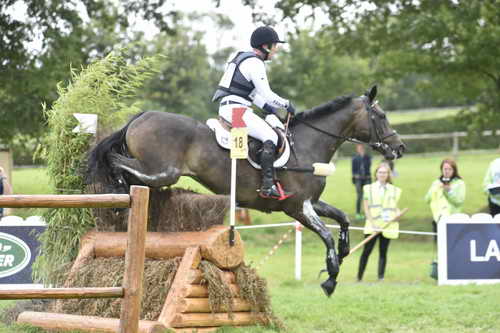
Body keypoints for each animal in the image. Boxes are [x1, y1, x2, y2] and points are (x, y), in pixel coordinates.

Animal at [87, 85, 406, 296]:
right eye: (381, 116)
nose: (400, 148)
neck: (307, 145)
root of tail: (141, 116)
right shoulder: (297, 208)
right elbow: (326, 234)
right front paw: (330, 277)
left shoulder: (310, 202)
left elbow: (343, 219)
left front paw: (342, 252)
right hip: (161, 170)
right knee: (115, 160)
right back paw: (115, 190)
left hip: (158, 172)